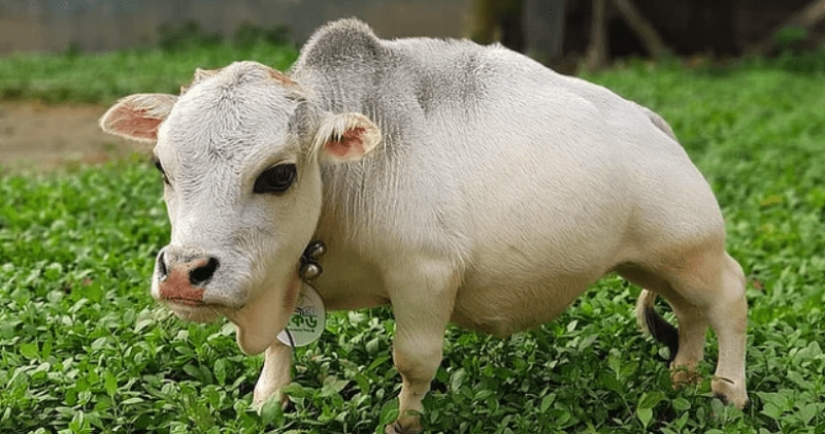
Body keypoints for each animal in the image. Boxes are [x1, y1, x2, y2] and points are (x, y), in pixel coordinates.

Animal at [99, 18, 748, 433]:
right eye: (161, 166)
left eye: (279, 175)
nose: (183, 273)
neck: (343, 190)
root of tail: (654, 124)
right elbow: (282, 349)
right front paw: (267, 402)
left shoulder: (426, 276)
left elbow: (413, 360)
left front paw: (405, 421)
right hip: (651, 264)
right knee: (690, 313)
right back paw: (683, 377)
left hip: (691, 251)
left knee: (730, 298)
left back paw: (728, 391)